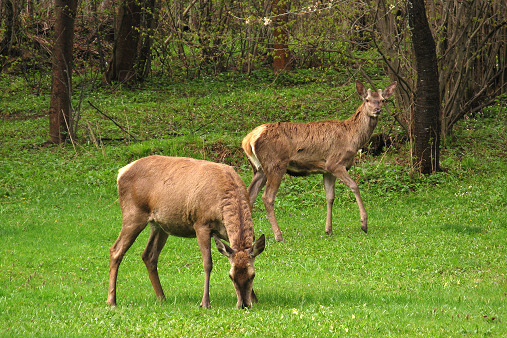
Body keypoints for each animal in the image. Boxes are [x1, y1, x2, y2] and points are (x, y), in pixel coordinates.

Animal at [107, 156, 266, 308]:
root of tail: (121, 172)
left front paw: (255, 298)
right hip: (133, 213)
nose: (244, 304)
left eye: (252, 275)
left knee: (148, 255)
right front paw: (205, 302)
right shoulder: (201, 224)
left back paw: (162, 298)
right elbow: (207, 263)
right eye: (230, 276)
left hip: (159, 225)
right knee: (116, 250)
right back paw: (111, 301)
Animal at [242, 80, 396, 242]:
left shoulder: (327, 170)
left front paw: (328, 229)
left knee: (250, 194)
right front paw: (364, 223)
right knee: (267, 197)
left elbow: (330, 197)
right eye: (366, 99)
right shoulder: (335, 163)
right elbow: (354, 186)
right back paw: (278, 236)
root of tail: (248, 139)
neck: (352, 138)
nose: (377, 109)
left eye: (382, 100)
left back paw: (251, 236)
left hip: (259, 169)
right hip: (275, 164)